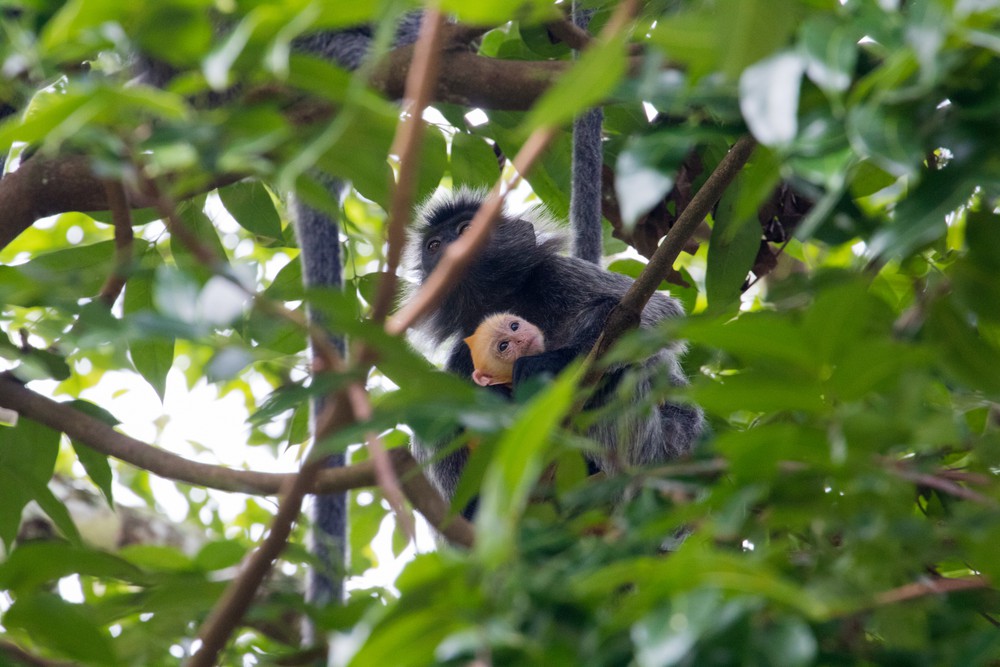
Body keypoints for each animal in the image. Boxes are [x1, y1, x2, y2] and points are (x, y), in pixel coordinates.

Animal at [408, 189, 704, 506]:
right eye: (434, 245)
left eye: (466, 229)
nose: (449, 249)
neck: (501, 298)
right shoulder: (464, 353)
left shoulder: (559, 273)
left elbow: (660, 312)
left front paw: (549, 362)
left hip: (669, 445)